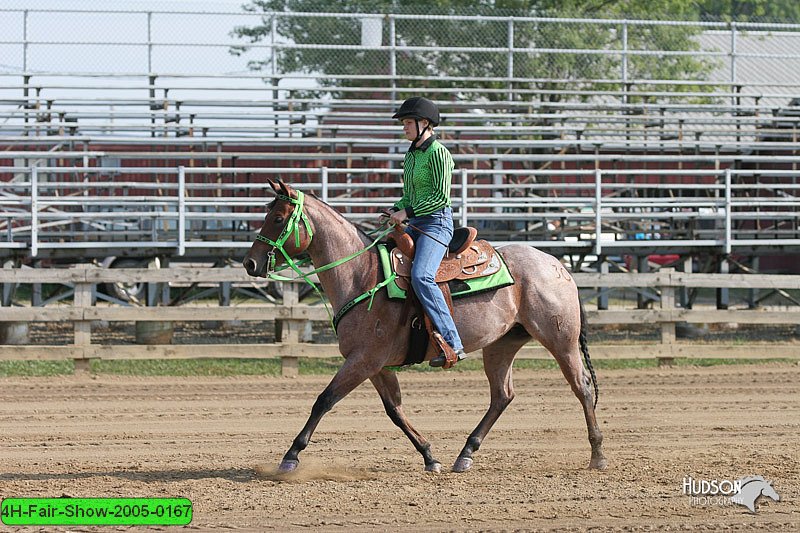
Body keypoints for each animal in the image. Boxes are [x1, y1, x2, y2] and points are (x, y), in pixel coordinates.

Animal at [244, 181, 608, 472]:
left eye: (278, 219)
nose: (250, 262)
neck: (362, 275)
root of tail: (556, 263)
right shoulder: (375, 365)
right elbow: (394, 409)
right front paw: (429, 456)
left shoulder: (363, 360)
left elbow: (324, 400)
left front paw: (290, 456)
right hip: (501, 345)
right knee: (502, 395)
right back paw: (465, 454)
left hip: (560, 340)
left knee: (582, 386)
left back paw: (597, 455)